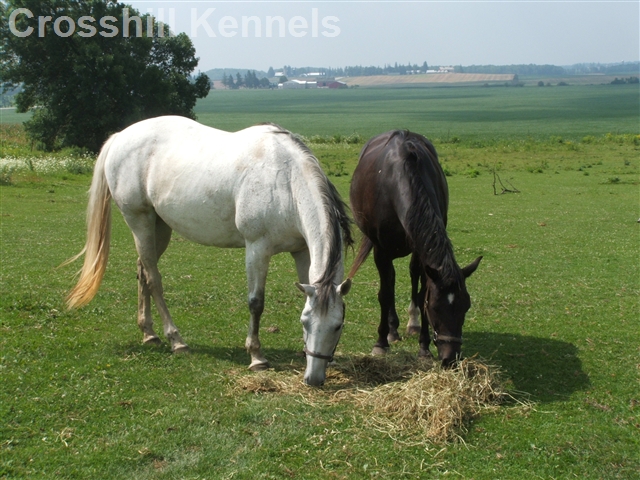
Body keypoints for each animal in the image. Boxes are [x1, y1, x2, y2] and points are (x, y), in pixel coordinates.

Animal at [65, 116, 353, 386]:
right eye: (306, 323)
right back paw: (176, 340)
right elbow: (256, 302)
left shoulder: (301, 251)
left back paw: (149, 334)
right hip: (139, 220)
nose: (314, 378)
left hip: (158, 226)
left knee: (143, 270)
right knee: (154, 279)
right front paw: (256, 357)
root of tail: (120, 137)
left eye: (338, 325)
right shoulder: (257, 248)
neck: (286, 181)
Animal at [348, 130, 481, 366]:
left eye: (466, 306)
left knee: (411, 276)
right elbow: (385, 293)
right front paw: (381, 342)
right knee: (390, 281)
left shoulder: (422, 252)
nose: (450, 358)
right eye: (436, 307)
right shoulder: (380, 250)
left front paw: (424, 347)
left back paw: (411, 324)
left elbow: (420, 292)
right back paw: (391, 331)